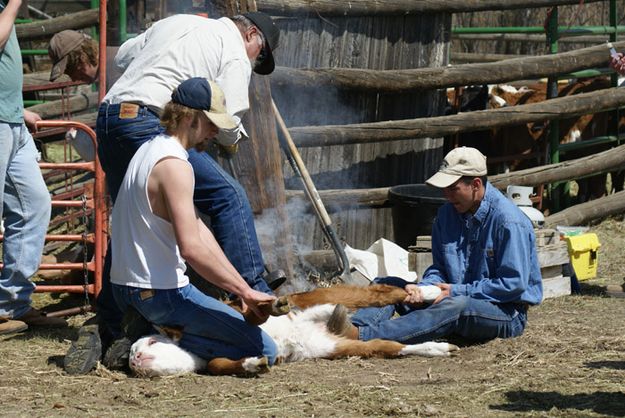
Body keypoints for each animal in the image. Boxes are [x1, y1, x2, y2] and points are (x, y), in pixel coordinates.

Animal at [128, 282, 458, 378]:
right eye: (132, 353)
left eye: (151, 342)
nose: (134, 357)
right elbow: (220, 364)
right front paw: (253, 363)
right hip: (329, 345)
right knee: (385, 345)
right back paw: (438, 348)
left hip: (331, 292)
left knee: (380, 291)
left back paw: (427, 291)